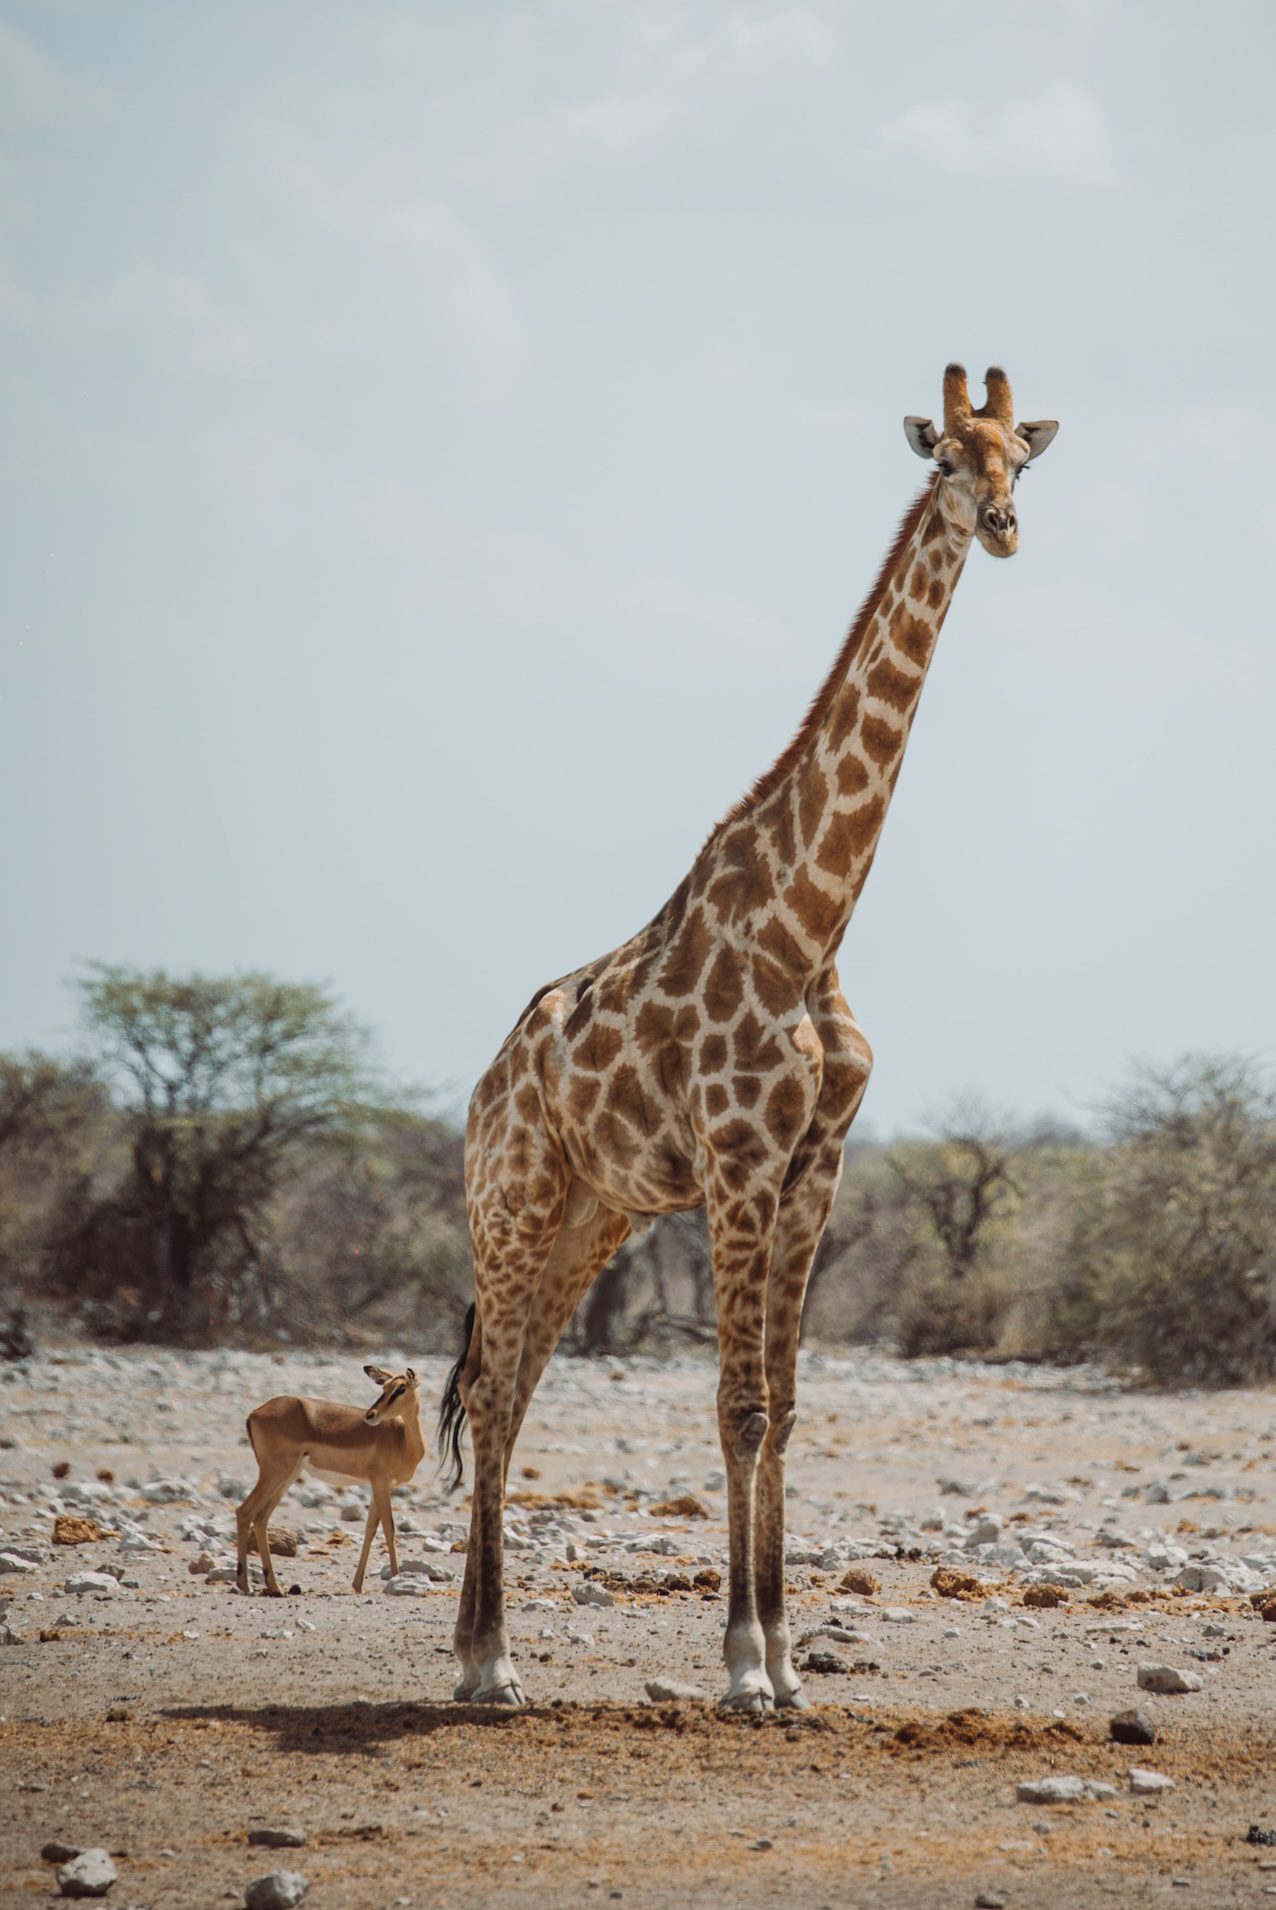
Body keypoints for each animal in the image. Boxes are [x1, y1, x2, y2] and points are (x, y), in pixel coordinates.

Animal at [440, 363, 1058, 1709]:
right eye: (945, 459)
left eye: (1022, 461)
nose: (1001, 528)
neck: (810, 922)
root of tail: (485, 1085)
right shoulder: (736, 1161)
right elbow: (733, 1406)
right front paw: (738, 1667)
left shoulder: (813, 1164)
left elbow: (784, 1403)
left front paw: (785, 1659)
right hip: (512, 1201)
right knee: (494, 1395)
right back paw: (492, 1659)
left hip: (594, 1216)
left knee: (510, 1393)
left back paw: (476, 1655)